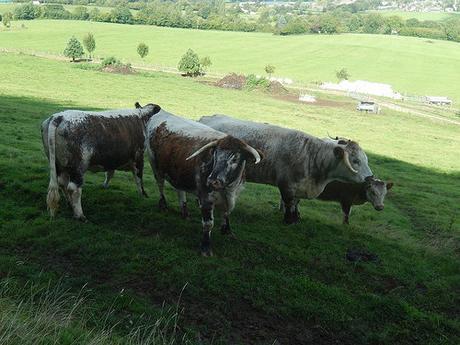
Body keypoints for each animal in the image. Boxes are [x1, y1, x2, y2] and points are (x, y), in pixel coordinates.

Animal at [146, 106, 262, 254]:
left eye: (235, 158)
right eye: (215, 154)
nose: (212, 181)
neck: (228, 189)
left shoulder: (233, 196)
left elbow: (226, 213)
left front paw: (227, 230)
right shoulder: (206, 199)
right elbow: (208, 224)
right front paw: (206, 247)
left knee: (180, 190)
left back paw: (184, 211)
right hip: (155, 165)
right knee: (160, 185)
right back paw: (163, 205)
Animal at [199, 114, 374, 224]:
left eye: (365, 159)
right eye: (355, 160)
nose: (370, 177)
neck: (312, 156)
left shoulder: (300, 187)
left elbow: (296, 203)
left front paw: (296, 218)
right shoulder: (286, 185)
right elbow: (289, 202)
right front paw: (289, 220)